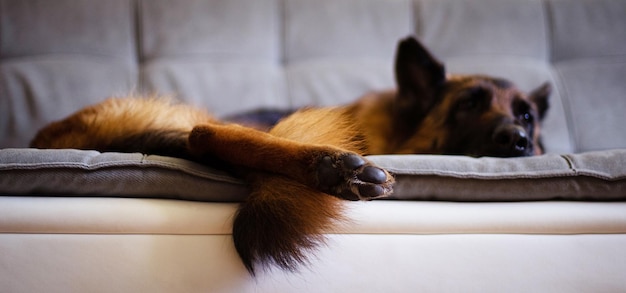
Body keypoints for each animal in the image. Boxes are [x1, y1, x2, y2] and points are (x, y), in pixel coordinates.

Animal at [30, 37, 544, 274]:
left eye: (528, 115)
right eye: (468, 106)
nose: (517, 139)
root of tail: (50, 137)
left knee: (204, 140)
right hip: (200, 121)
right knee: (203, 133)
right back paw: (331, 167)